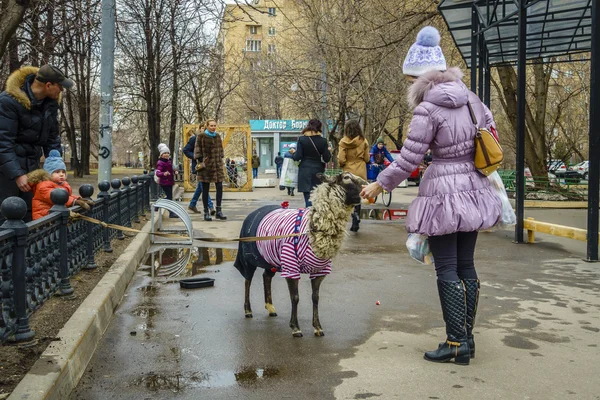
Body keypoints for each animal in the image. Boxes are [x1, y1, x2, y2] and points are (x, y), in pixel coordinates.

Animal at [233, 170, 366, 336]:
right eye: (347, 178)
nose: (367, 188)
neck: (312, 227)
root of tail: (253, 213)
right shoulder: (291, 266)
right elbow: (295, 297)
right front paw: (295, 328)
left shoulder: (320, 270)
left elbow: (315, 297)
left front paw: (317, 327)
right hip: (248, 258)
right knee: (247, 281)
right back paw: (248, 310)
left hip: (270, 259)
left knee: (266, 277)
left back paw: (270, 308)